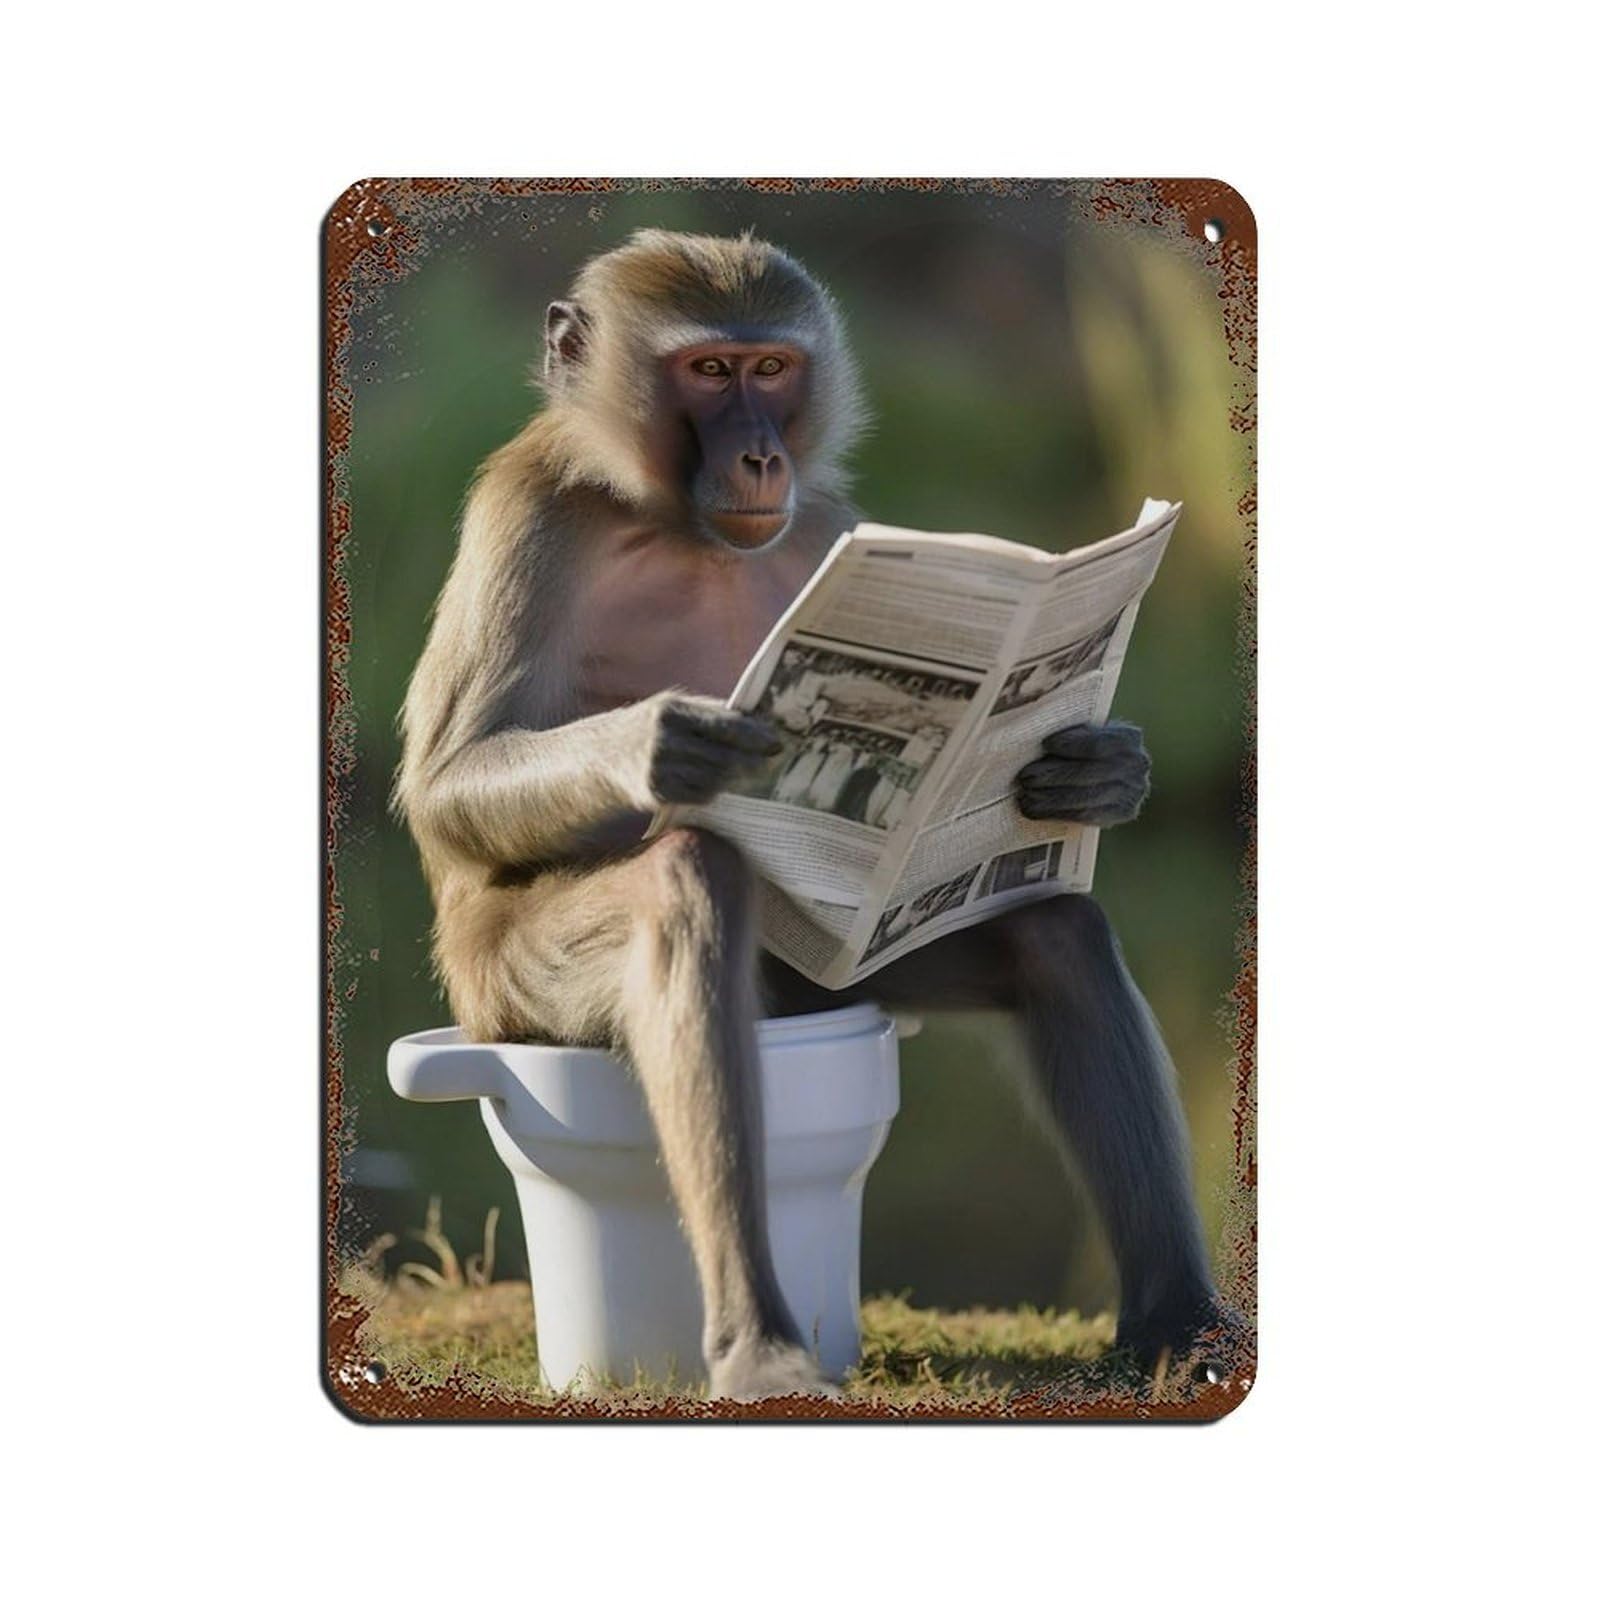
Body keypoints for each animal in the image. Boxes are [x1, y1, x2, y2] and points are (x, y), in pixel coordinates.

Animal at [396, 229, 1221, 1399]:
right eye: (708, 371)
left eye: (771, 369)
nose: (758, 458)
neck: (667, 517)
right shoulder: (532, 514)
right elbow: (446, 783)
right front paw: (663, 745)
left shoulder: (833, 530)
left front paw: (1098, 770)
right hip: (506, 984)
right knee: (686, 887)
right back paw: (757, 1339)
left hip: (822, 974)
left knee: (1050, 932)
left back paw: (1177, 1319)